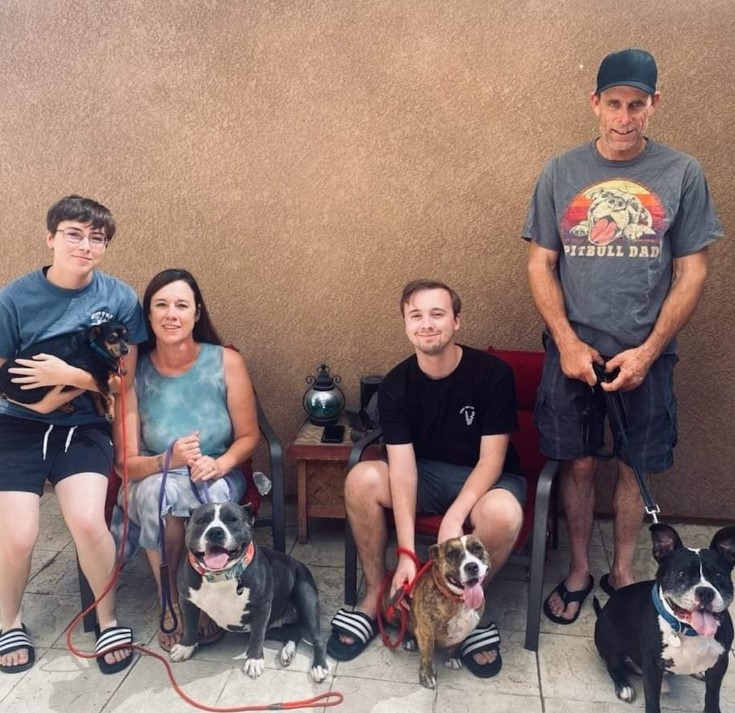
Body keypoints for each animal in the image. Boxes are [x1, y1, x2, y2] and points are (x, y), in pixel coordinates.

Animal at [171, 498, 330, 680]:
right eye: (201, 521)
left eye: (232, 519)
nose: (215, 532)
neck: (220, 576)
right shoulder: (186, 599)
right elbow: (190, 625)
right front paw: (185, 646)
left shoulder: (261, 608)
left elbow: (257, 637)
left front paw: (254, 660)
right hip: (273, 625)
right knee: (293, 632)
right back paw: (288, 652)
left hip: (306, 598)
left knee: (318, 639)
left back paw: (319, 666)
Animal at [596, 520, 732, 708]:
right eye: (681, 573)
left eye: (719, 575)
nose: (705, 592)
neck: (689, 630)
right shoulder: (652, 668)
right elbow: (652, 701)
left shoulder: (720, 663)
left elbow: (712, 696)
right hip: (609, 644)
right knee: (613, 666)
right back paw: (624, 686)